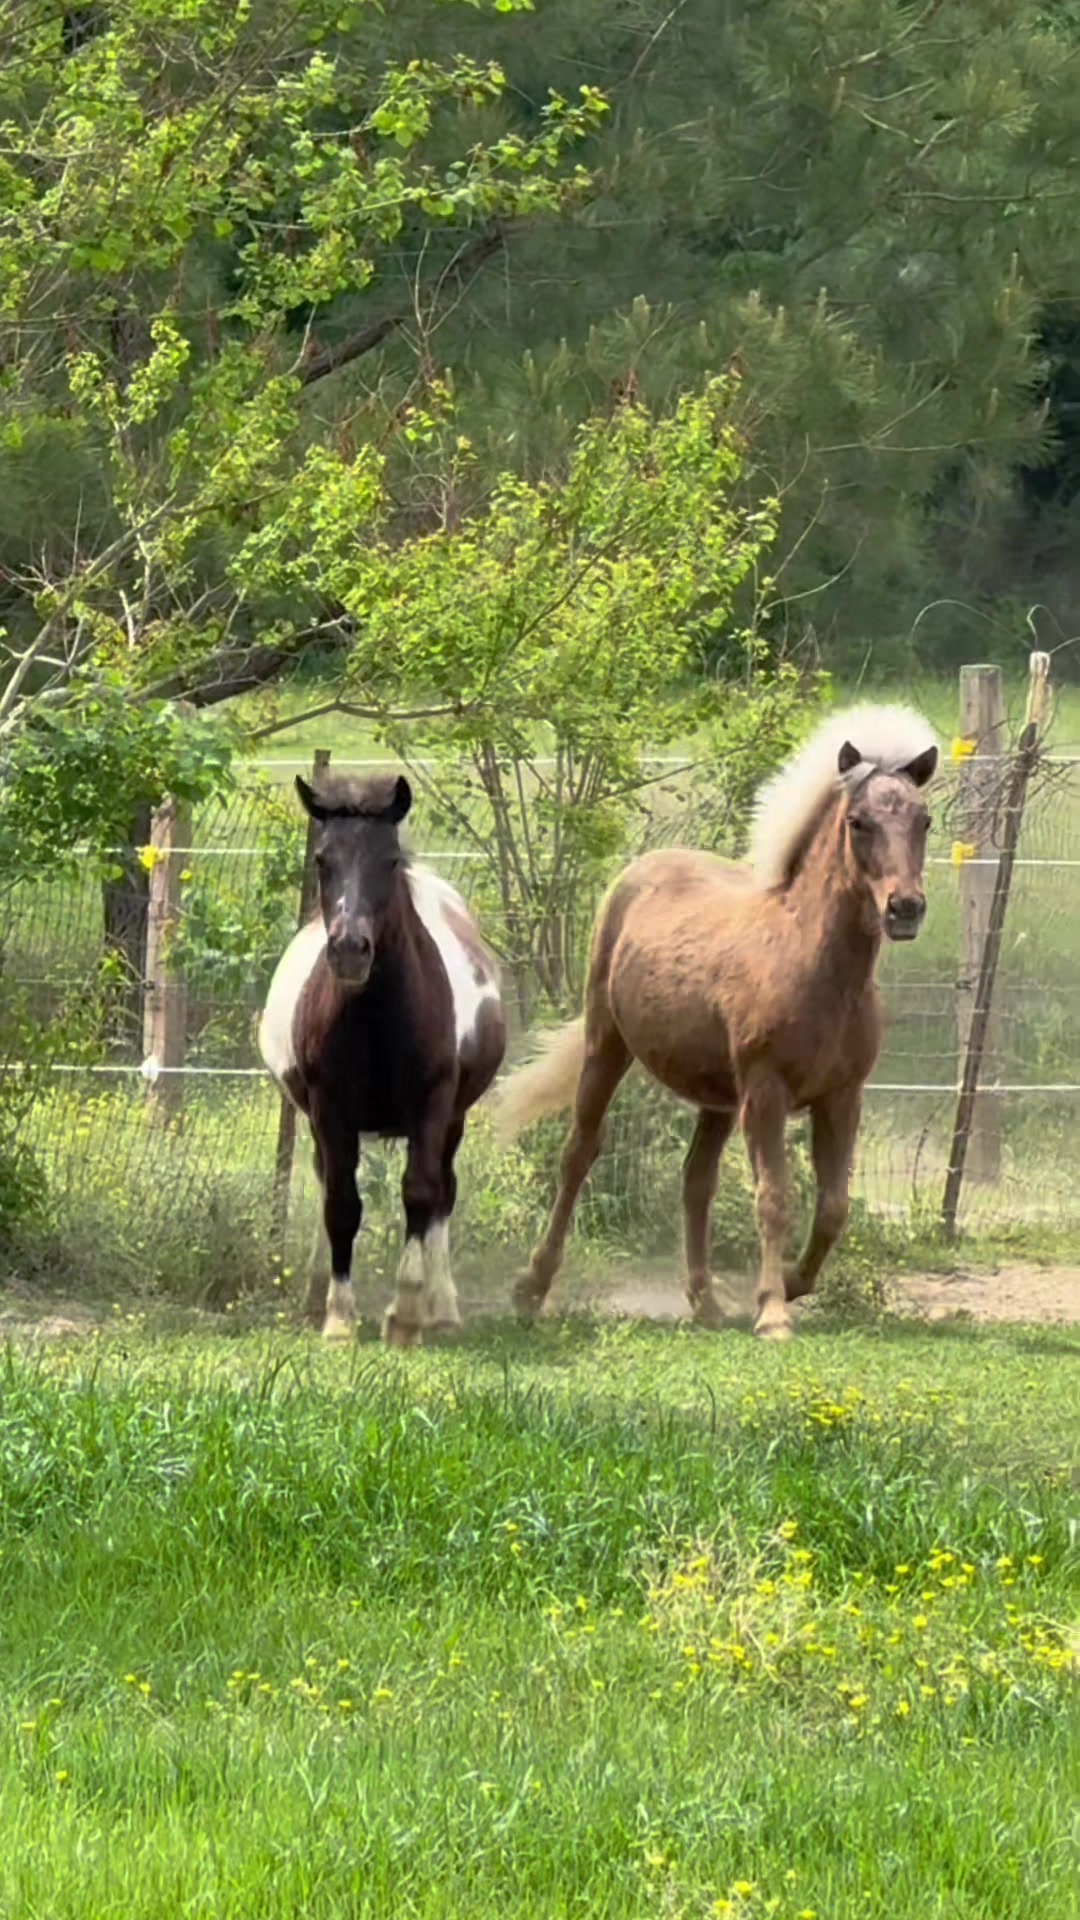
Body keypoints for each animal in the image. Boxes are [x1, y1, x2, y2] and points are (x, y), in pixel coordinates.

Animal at [258, 771, 506, 1344]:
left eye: (389, 860)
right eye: (322, 859)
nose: (350, 950)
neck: (378, 1020)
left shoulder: (433, 1107)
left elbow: (420, 1194)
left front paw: (406, 1315)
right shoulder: (329, 1111)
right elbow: (341, 1203)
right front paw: (338, 1317)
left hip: (454, 1120)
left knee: (443, 1195)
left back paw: (444, 1308)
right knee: (326, 1179)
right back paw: (315, 1294)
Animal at [495, 705, 938, 1339]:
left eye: (924, 820)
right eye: (858, 822)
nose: (905, 909)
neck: (814, 966)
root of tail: (640, 871)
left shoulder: (842, 1097)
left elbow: (833, 1207)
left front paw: (792, 1287)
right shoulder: (766, 1092)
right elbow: (774, 1197)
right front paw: (773, 1311)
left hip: (718, 1099)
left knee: (695, 1182)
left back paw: (705, 1300)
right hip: (607, 1046)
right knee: (579, 1154)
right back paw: (531, 1287)